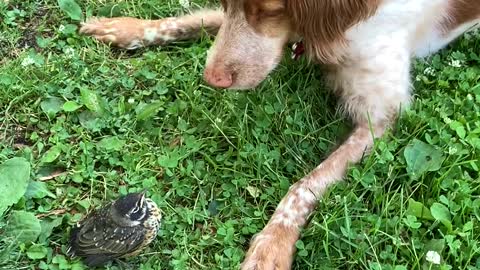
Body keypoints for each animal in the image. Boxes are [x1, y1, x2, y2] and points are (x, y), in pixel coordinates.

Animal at [79, 1, 480, 268]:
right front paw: (129, 28)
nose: (212, 78)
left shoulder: (381, 117)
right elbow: (200, 17)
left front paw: (271, 246)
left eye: (269, 9)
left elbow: (304, 186)